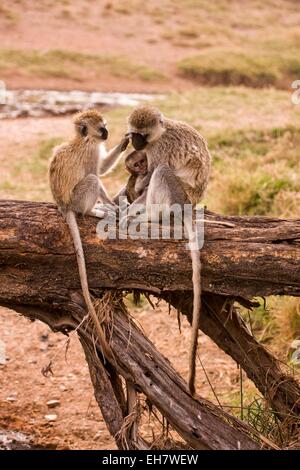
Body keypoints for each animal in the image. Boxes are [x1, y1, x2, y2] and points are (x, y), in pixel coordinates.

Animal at [48, 109, 128, 360]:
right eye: (101, 128)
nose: (108, 133)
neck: (85, 139)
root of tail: (64, 206)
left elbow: (101, 170)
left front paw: (124, 143)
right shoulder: (91, 151)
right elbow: (97, 173)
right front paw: (112, 203)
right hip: (78, 199)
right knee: (92, 180)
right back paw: (94, 211)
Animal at [125, 104, 212, 394]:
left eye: (142, 135)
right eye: (133, 133)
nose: (134, 142)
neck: (159, 134)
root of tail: (191, 205)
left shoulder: (157, 150)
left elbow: (150, 175)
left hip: (178, 194)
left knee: (161, 172)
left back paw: (149, 217)